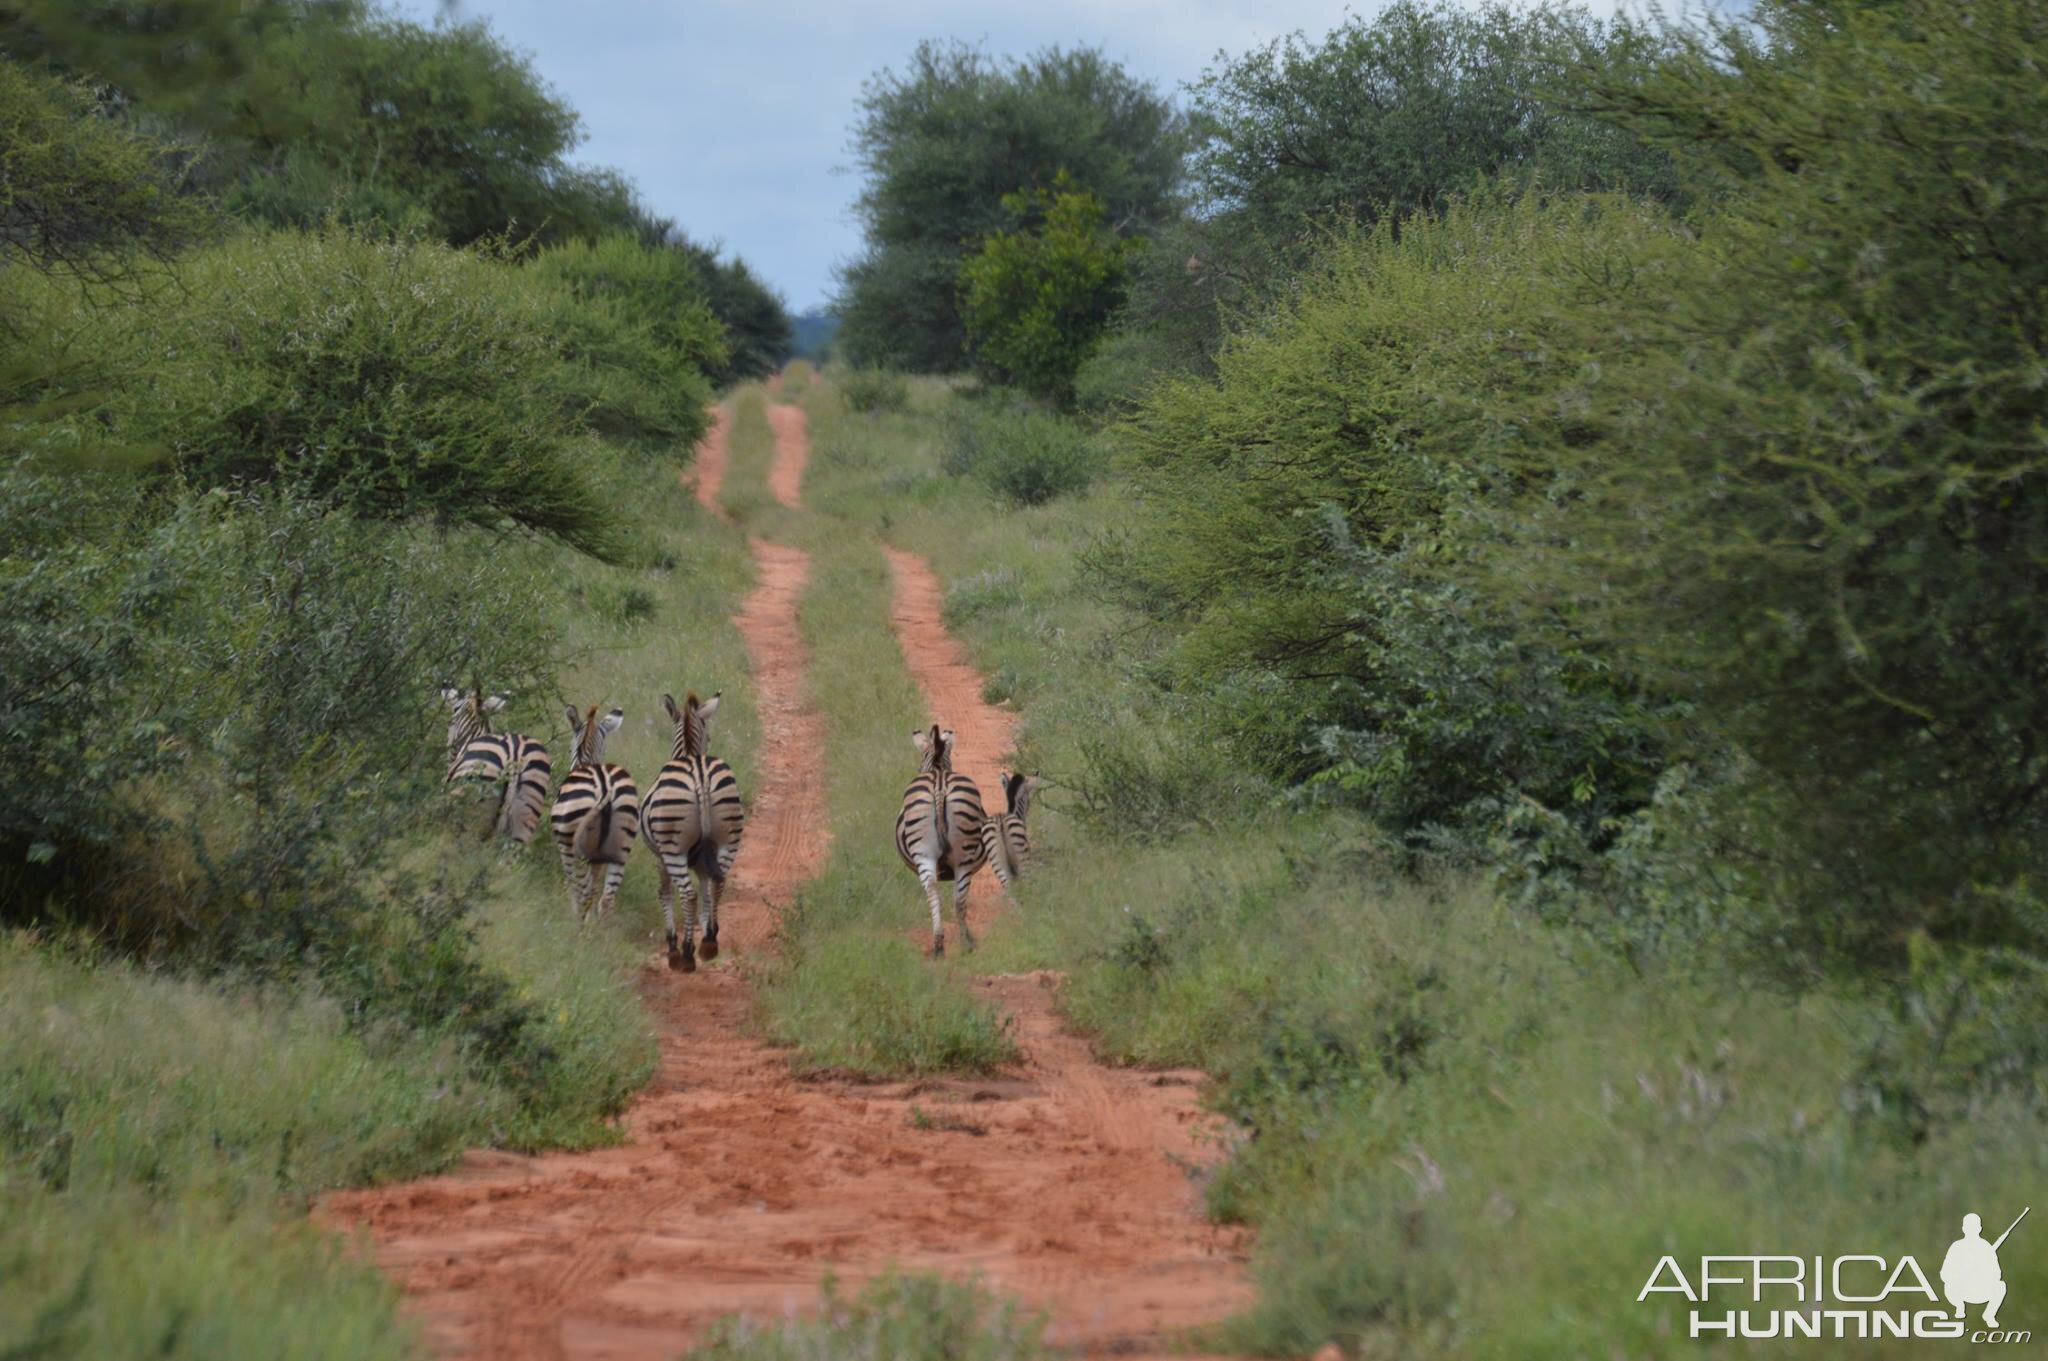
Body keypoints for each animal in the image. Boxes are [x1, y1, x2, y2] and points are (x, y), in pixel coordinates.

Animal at [548, 699, 634, 925]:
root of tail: (605, 787)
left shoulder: (565, 846)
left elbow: (576, 886)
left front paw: (580, 917)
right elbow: (595, 883)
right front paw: (591, 917)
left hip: (574, 843)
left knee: (581, 890)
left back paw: (579, 926)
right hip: (622, 844)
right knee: (607, 900)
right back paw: (599, 931)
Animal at [643, 695, 749, 970]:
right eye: (709, 737)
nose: (710, 742)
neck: (687, 752)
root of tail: (700, 775)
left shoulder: (659, 856)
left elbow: (665, 893)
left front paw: (672, 945)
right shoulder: (703, 858)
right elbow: (705, 891)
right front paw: (707, 929)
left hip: (673, 849)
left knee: (688, 894)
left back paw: (686, 954)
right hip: (728, 839)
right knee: (718, 882)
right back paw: (710, 942)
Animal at [892, 720, 987, 953]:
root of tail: (939, 784)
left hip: (936, 854)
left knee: (943, 895)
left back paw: (951, 944)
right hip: (953, 857)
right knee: (950, 897)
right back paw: (952, 944)